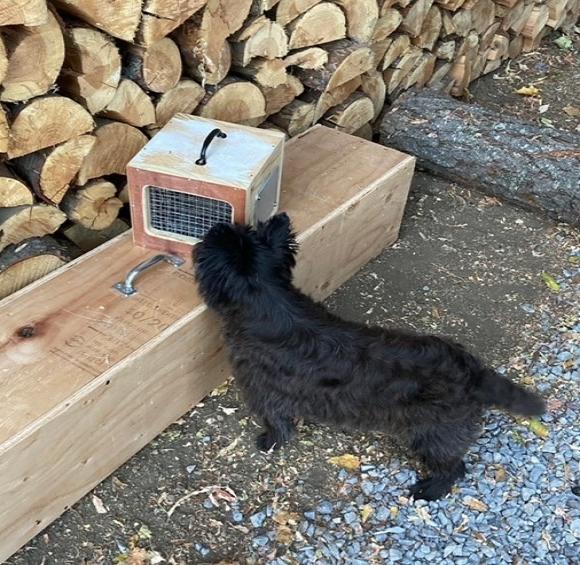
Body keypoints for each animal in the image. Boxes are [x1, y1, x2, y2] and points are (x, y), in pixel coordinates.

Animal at [194, 214, 544, 500]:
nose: (214, 228)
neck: (269, 299)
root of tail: (472, 371)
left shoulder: (264, 391)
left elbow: (278, 423)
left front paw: (269, 441)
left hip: (432, 435)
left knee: (455, 469)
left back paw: (429, 490)